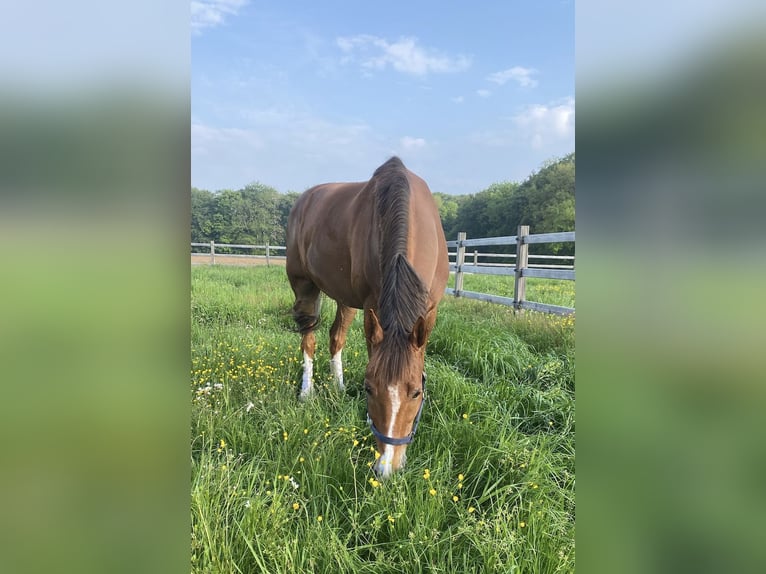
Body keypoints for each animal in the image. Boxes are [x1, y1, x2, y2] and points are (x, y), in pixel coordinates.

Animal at [286, 158, 450, 482]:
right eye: (369, 389)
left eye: (416, 392)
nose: (387, 468)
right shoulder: (373, 305)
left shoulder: (430, 309)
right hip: (303, 286)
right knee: (308, 337)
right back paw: (306, 392)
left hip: (345, 299)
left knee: (335, 338)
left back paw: (337, 388)